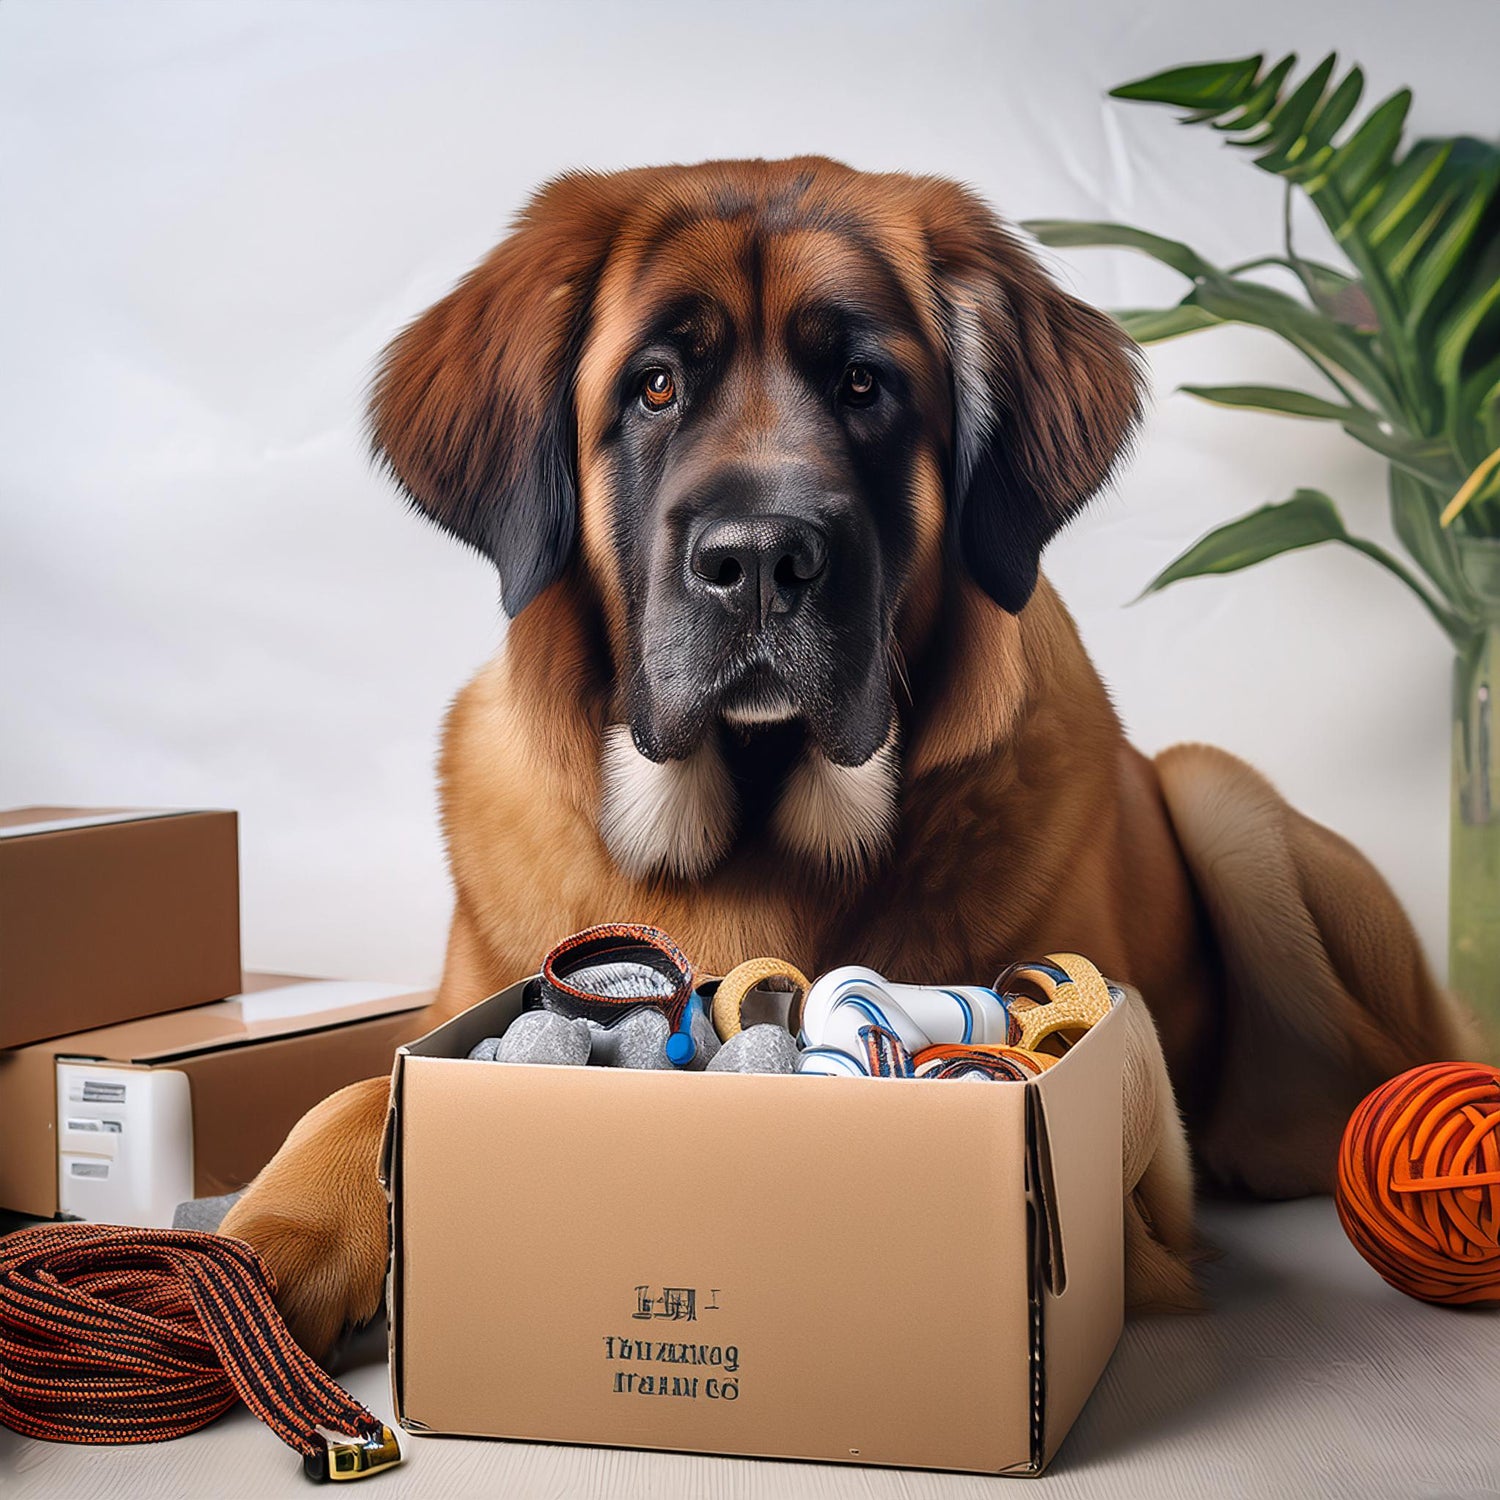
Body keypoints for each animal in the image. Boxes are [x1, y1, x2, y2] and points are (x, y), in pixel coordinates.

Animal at [219, 158, 1464, 1368]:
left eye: (865, 385)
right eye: (655, 387)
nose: (763, 558)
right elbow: (356, 1085)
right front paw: (271, 1241)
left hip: (1219, 793)